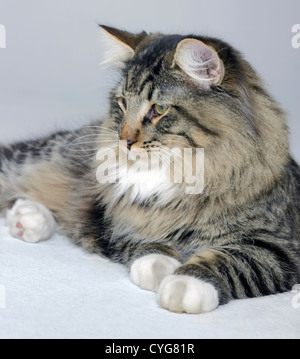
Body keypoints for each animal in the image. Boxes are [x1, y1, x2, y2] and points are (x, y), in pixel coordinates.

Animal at [0, 25, 300, 314]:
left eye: (159, 109)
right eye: (122, 103)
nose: (124, 140)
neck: (178, 173)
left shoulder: (279, 247)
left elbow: (230, 262)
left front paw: (183, 285)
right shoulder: (119, 224)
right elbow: (147, 245)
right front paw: (160, 268)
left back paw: (25, 219)